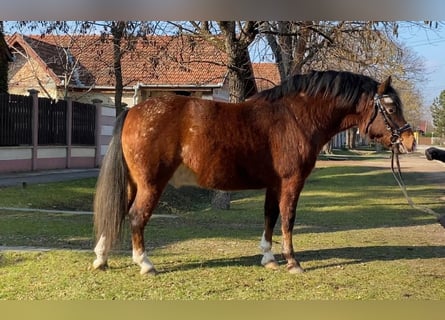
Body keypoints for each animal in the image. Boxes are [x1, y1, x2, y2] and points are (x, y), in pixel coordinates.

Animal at [92, 70, 414, 276]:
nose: (409, 141)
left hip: (133, 183)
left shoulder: (274, 184)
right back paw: (145, 264)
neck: (295, 118)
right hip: (151, 184)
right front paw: (292, 262)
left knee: (118, 212)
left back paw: (101, 258)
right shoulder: (292, 182)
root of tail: (133, 111)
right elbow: (288, 219)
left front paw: (269, 258)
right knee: (136, 217)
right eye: (390, 108)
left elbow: (270, 216)